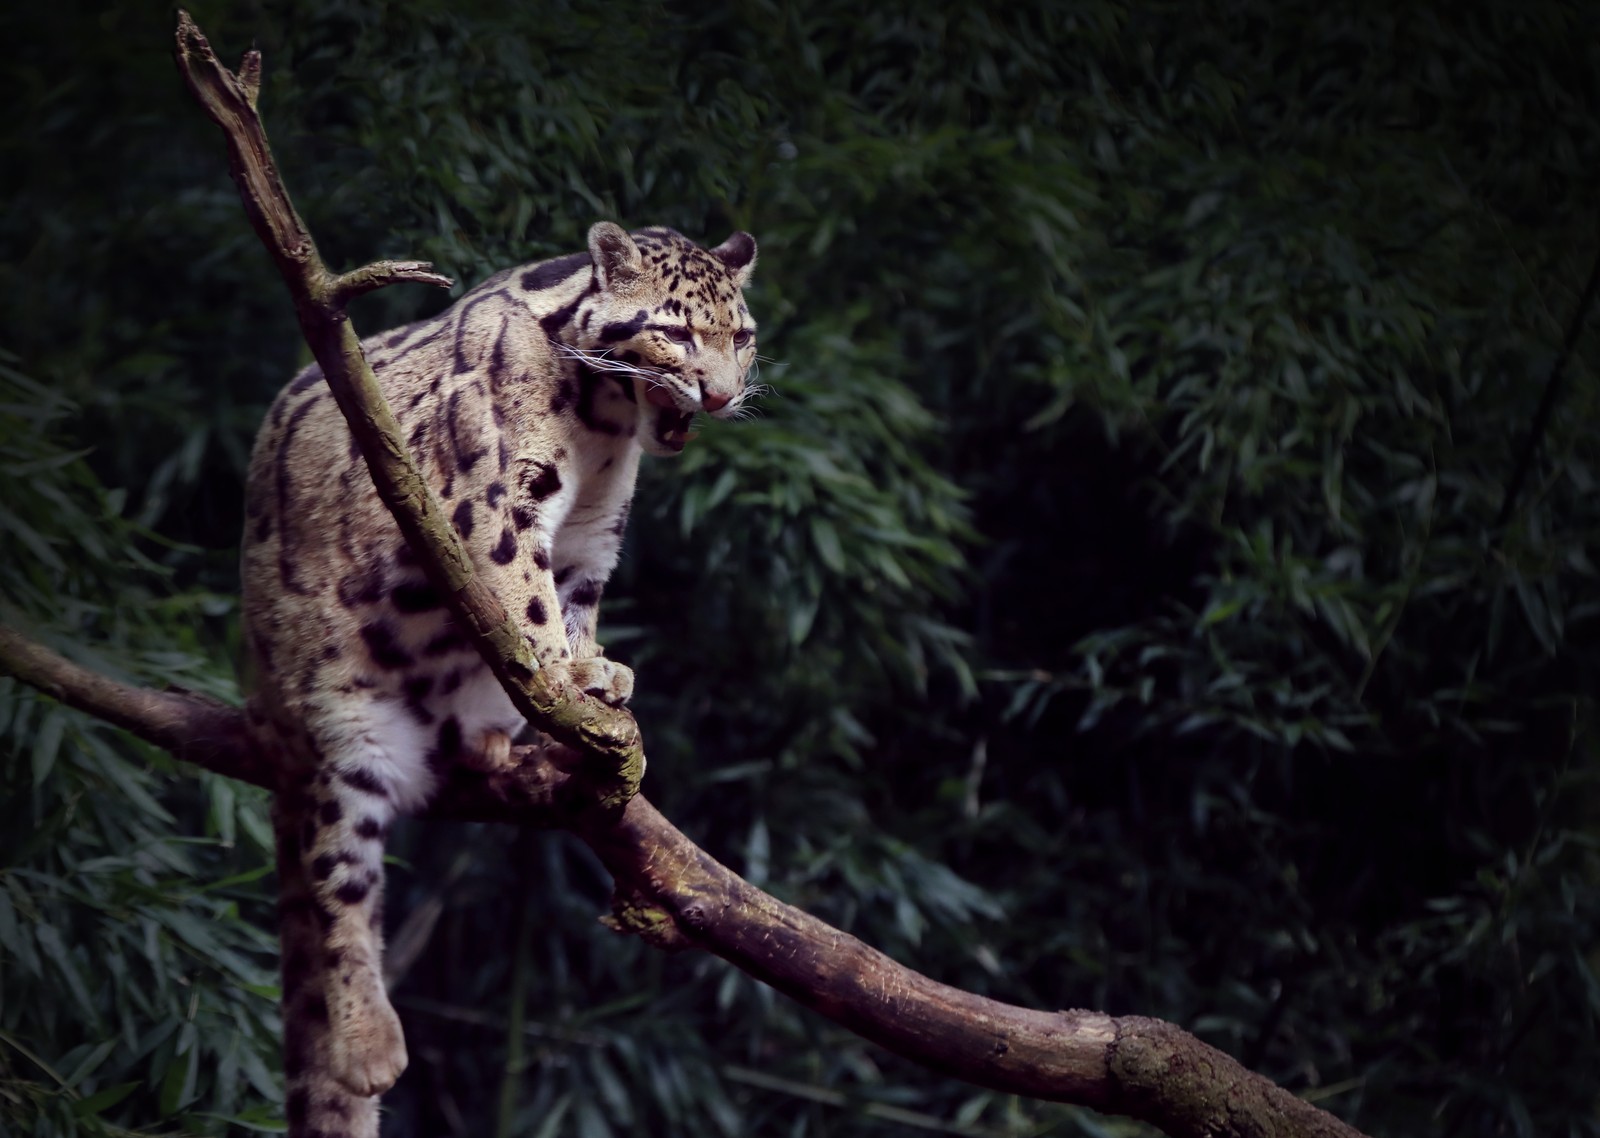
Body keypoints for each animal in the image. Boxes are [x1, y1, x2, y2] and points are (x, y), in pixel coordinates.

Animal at [240, 224, 758, 1133]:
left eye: (744, 336)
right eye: (677, 332)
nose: (723, 396)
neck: (604, 425)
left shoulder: (594, 532)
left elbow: (574, 600)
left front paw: (592, 672)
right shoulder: (493, 503)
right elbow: (527, 596)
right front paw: (568, 677)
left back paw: (488, 740)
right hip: (344, 734)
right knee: (340, 882)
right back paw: (369, 1044)